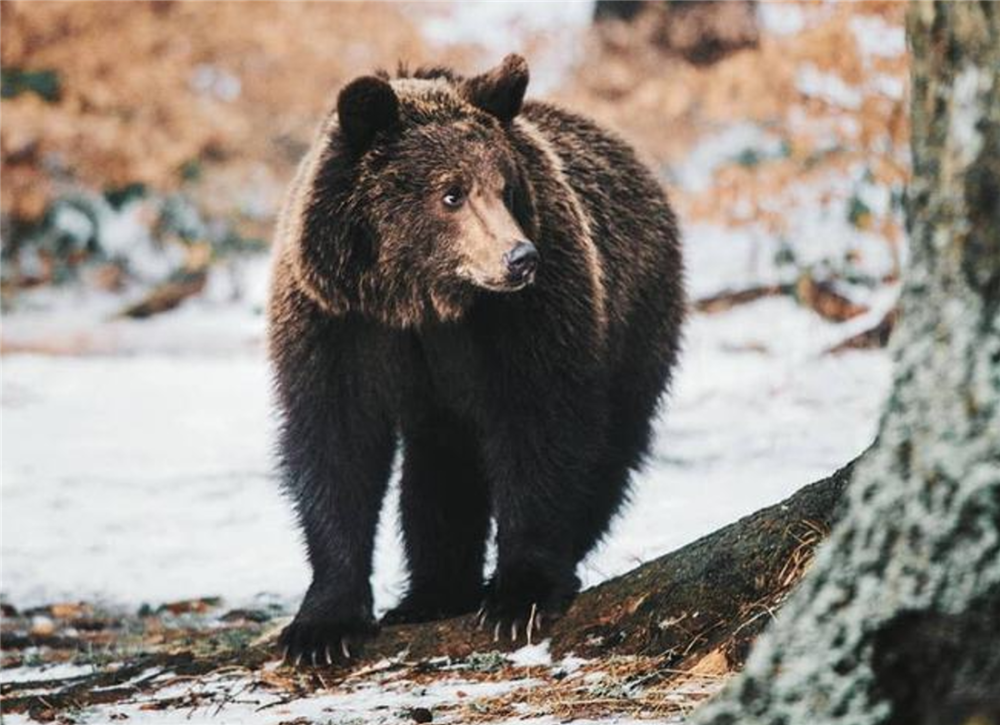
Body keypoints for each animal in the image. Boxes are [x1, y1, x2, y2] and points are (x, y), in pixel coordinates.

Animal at [270, 55, 684, 668]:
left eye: (506, 188)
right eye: (451, 193)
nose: (520, 258)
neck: (422, 301)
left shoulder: (526, 320)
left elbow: (540, 427)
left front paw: (520, 593)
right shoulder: (339, 324)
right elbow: (336, 447)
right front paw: (322, 627)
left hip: (635, 319)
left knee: (610, 448)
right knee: (442, 468)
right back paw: (432, 594)